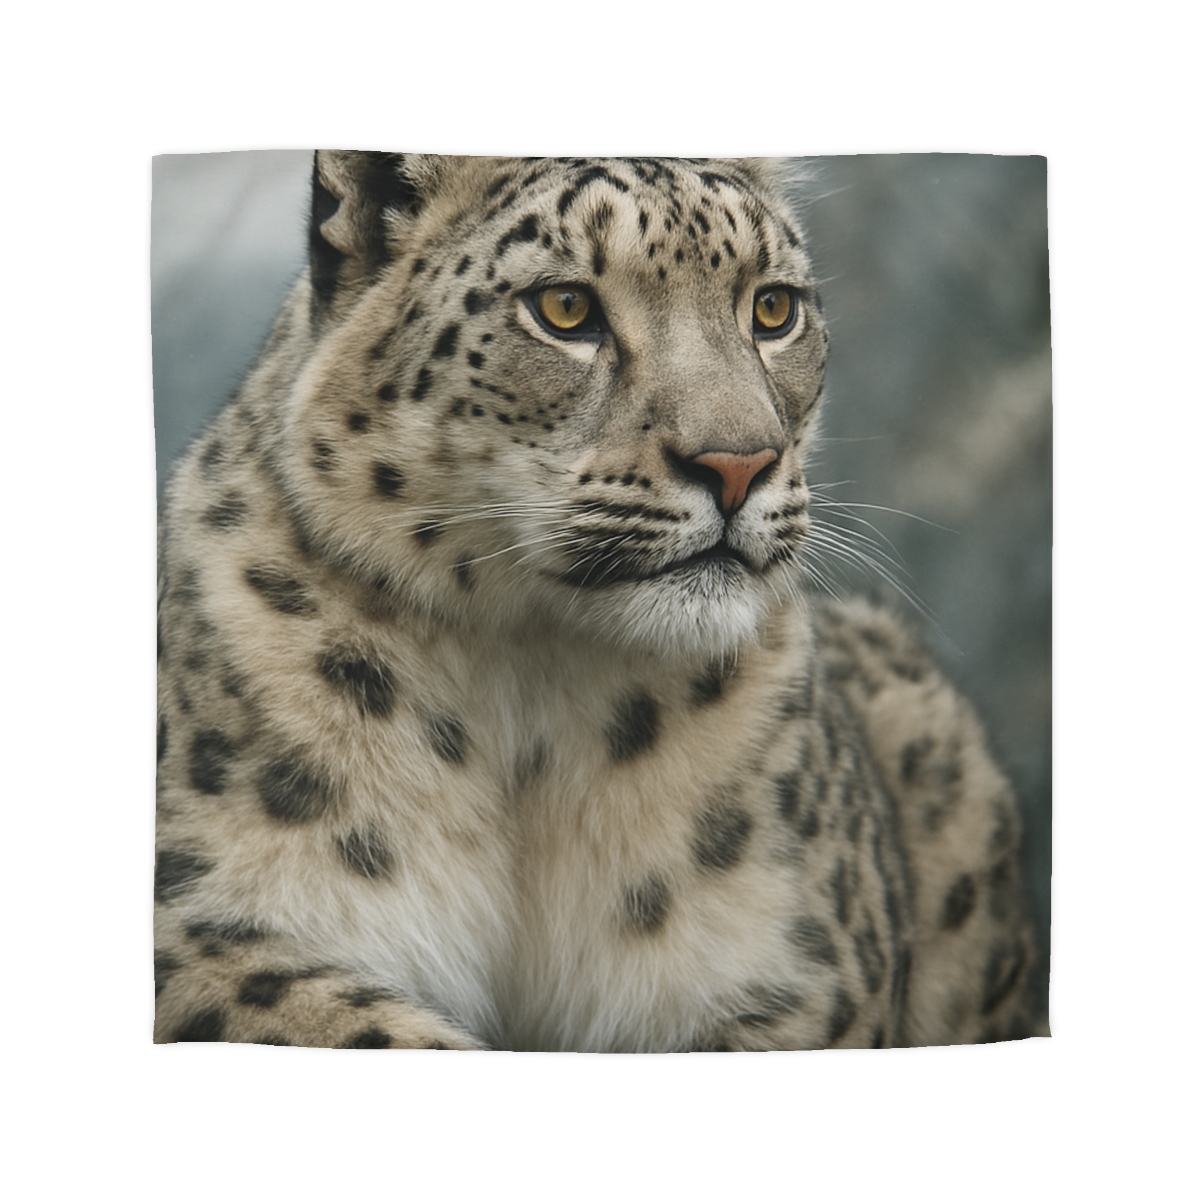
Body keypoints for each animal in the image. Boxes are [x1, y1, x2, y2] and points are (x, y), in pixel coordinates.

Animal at [154, 152, 1044, 1051]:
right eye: (566, 307)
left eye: (772, 307)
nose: (739, 464)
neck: (533, 696)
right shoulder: (206, 929)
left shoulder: (793, 971)